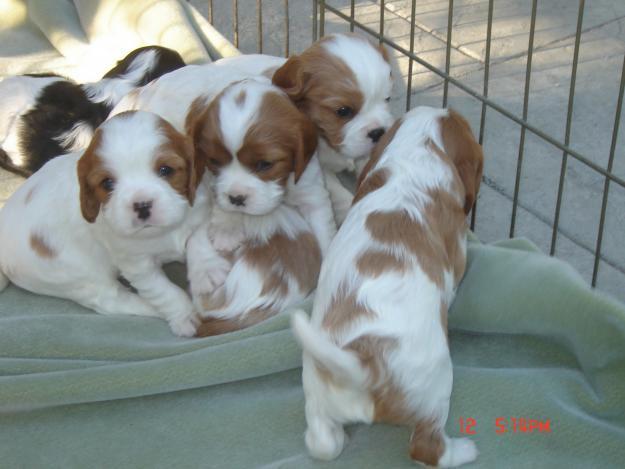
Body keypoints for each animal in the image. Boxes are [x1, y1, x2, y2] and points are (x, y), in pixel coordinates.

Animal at [0, 110, 208, 336]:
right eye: (107, 183)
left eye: (165, 170)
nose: (142, 205)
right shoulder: (137, 264)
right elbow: (164, 291)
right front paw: (186, 315)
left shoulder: (199, 223)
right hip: (81, 277)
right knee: (114, 301)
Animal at [290, 109, 486, 464]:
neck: (415, 155)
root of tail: (364, 365)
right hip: (435, 389)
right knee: (427, 449)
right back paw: (463, 450)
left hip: (316, 394)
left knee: (322, 444)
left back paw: (336, 439)